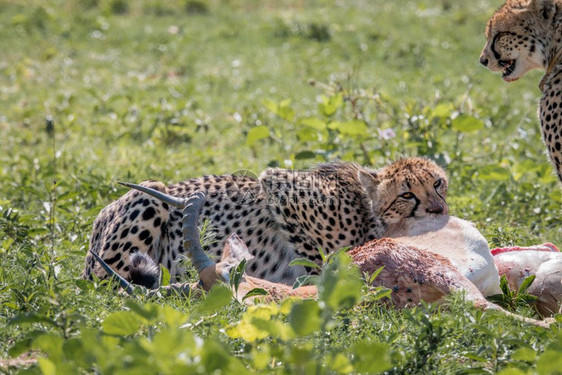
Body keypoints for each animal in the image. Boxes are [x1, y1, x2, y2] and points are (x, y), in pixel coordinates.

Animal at [82, 157, 446, 284]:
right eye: (406, 194)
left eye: (438, 183)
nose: (438, 210)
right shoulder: (280, 186)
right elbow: (315, 260)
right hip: (150, 195)